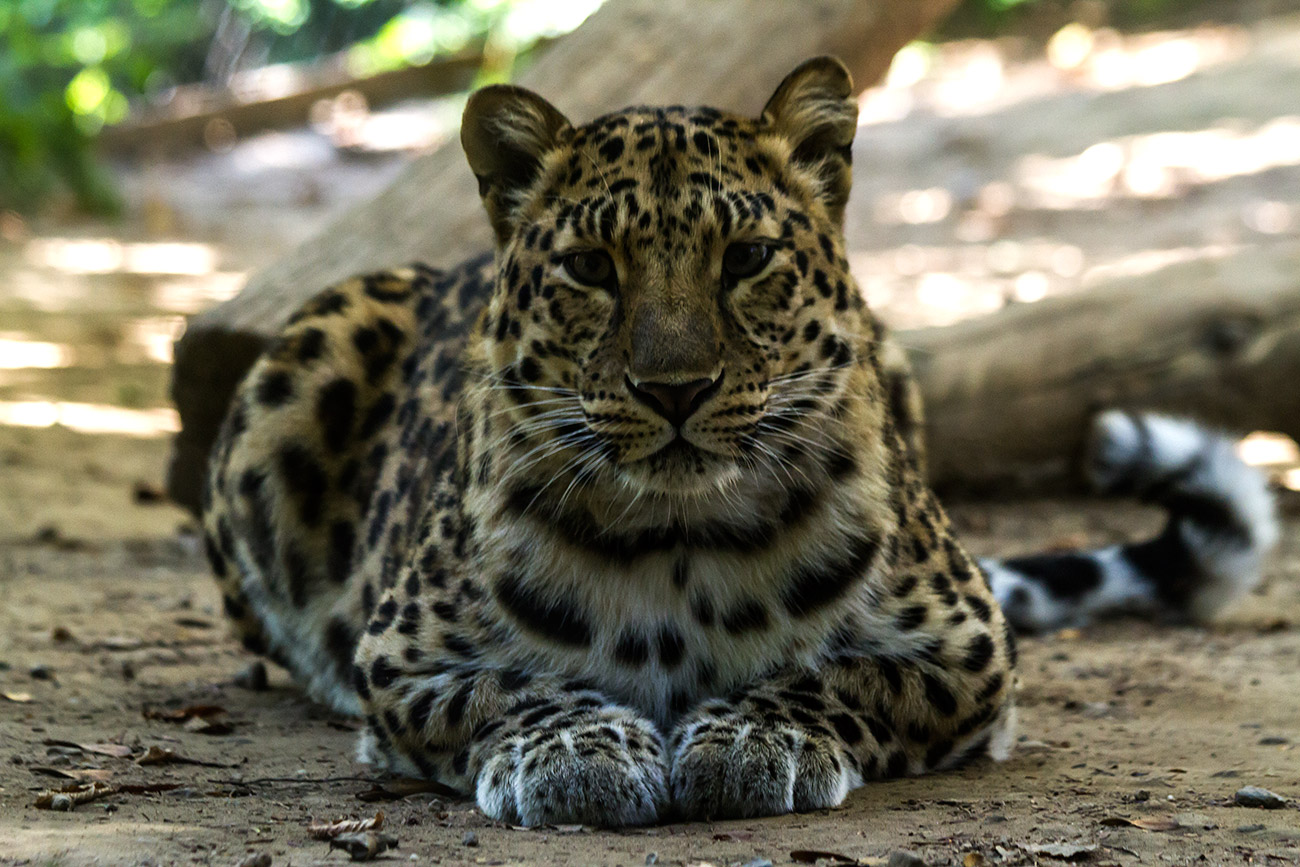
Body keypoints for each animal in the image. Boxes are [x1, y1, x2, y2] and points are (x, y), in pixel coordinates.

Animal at [200, 57, 1278, 826]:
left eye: (748, 257)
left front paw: (758, 738)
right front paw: (579, 755)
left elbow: (847, 674)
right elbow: (511, 690)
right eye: (591, 267)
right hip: (302, 355)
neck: (680, 541)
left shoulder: (971, 649)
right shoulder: (400, 658)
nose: (675, 389)